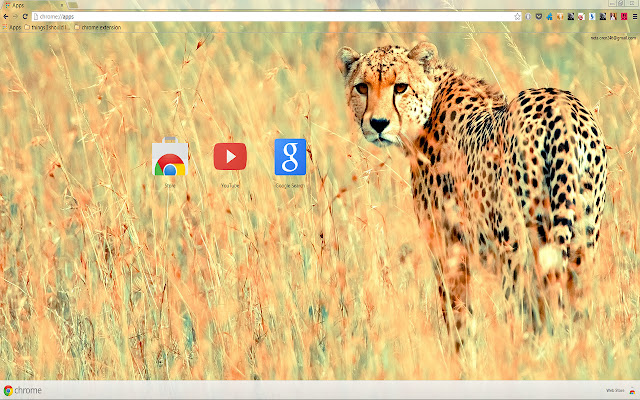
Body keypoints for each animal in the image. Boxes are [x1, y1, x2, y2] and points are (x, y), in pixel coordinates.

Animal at [337, 42, 608, 350]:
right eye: (362, 87)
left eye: (401, 87)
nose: (378, 123)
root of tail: (560, 106)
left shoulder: (448, 246)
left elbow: (456, 314)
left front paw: (460, 354)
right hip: (583, 240)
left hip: (517, 245)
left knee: (528, 311)